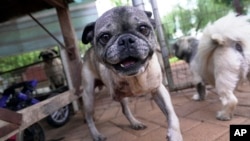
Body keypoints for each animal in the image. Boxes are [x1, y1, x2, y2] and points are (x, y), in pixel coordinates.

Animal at [81, 6, 183, 140]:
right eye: (105, 37)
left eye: (143, 29)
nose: (126, 39)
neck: (136, 77)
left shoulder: (158, 89)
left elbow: (170, 112)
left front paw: (175, 134)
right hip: (89, 97)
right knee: (89, 118)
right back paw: (96, 134)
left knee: (125, 110)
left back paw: (135, 123)